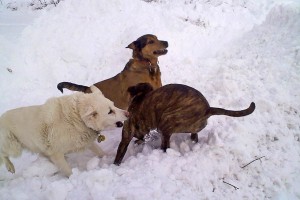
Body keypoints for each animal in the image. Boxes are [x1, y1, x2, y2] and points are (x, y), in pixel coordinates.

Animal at [113, 83, 254, 166]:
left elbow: (119, 154)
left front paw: (115, 165)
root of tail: (208, 109)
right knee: (193, 136)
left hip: (167, 119)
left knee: (165, 147)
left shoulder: (127, 134)